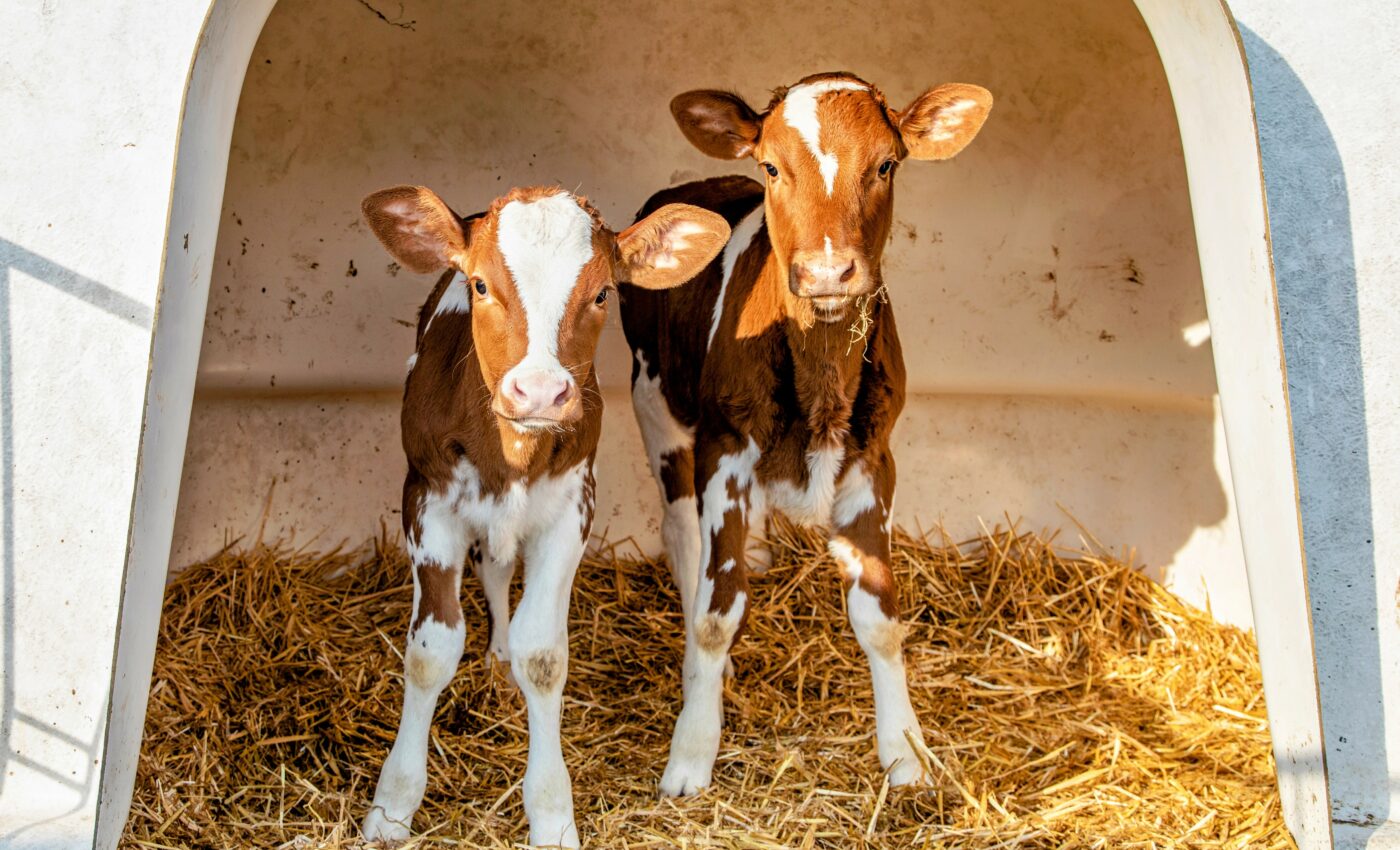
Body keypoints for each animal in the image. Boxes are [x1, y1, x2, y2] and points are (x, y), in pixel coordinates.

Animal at [357, 184, 729, 846]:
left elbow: (544, 656)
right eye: (480, 284)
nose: (537, 392)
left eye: (603, 293)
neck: (511, 453)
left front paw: (552, 813)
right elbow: (430, 652)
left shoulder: (571, 508)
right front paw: (393, 805)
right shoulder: (426, 502)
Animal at [617, 72, 992, 796]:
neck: (819, 377)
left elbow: (881, 619)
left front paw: (904, 750)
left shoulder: (874, 459)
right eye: (770, 166)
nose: (826, 273)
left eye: (886, 163)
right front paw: (692, 752)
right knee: (683, 535)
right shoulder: (725, 449)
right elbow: (716, 613)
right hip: (657, 407)